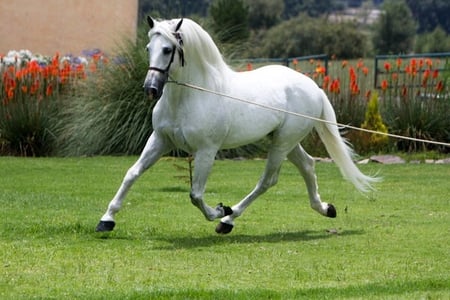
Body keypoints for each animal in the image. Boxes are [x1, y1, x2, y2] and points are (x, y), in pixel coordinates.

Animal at [96, 17, 378, 234]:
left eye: (167, 49)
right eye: (148, 48)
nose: (151, 89)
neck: (192, 95)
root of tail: (313, 87)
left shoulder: (206, 151)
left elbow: (196, 195)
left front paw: (220, 209)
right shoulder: (160, 140)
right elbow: (132, 173)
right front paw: (106, 220)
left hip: (282, 143)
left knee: (267, 181)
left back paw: (227, 220)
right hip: (280, 140)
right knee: (307, 165)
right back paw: (326, 208)